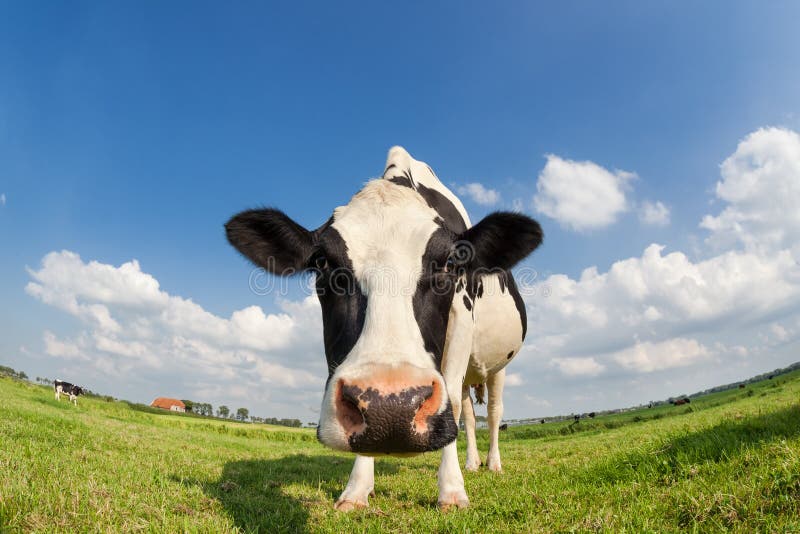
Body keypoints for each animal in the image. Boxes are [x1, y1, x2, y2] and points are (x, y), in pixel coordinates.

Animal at [223, 147, 544, 510]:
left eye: (450, 262)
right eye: (322, 263)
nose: (390, 409)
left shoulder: (462, 317)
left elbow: (453, 404)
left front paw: (451, 491)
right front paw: (357, 489)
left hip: (498, 366)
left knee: (491, 410)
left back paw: (492, 464)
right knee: (469, 413)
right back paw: (472, 463)